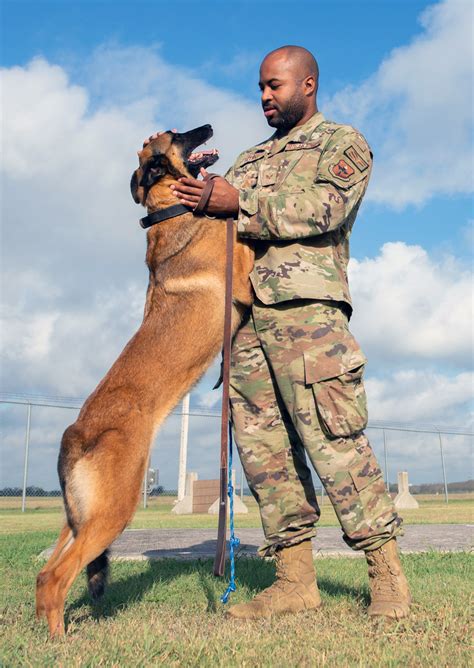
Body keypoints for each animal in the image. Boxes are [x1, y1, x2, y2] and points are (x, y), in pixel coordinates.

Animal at [36, 124, 256, 636]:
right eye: (176, 135)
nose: (207, 127)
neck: (170, 206)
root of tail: (74, 434)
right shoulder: (243, 268)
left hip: (79, 517)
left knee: (43, 575)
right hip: (113, 512)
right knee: (55, 578)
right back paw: (58, 640)